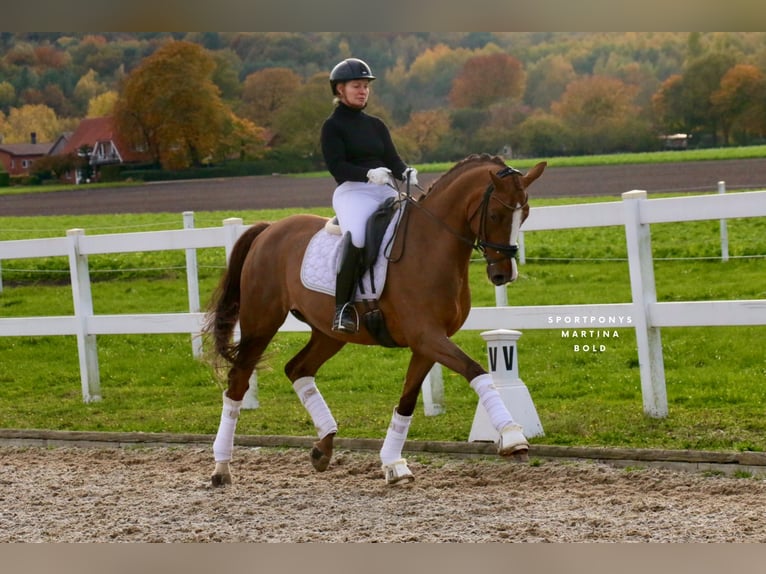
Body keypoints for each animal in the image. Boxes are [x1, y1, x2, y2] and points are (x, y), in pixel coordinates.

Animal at [203, 153, 547, 486]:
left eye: (525, 214)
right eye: (496, 215)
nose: (503, 275)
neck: (431, 245)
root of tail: (269, 228)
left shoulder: (427, 343)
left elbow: (407, 401)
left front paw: (394, 465)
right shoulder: (427, 336)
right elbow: (476, 371)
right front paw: (512, 437)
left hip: (329, 333)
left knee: (298, 369)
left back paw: (323, 447)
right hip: (261, 323)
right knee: (238, 380)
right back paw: (221, 468)